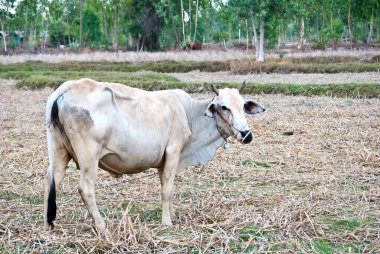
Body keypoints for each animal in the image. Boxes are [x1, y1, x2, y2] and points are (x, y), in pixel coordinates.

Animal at [43, 79, 266, 234]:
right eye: (224, 107)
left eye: (242, 105)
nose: (246, 135)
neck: (189, 114)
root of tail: (66, 89)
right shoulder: (173, 151)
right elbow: (166, 190)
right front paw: (167, 222)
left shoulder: (163, 162)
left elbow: (168, 188)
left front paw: (172, 214)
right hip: (89, 158)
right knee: (85, 189)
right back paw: (102, 226)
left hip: (58, 151)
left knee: (51, 181)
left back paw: (48, 224)